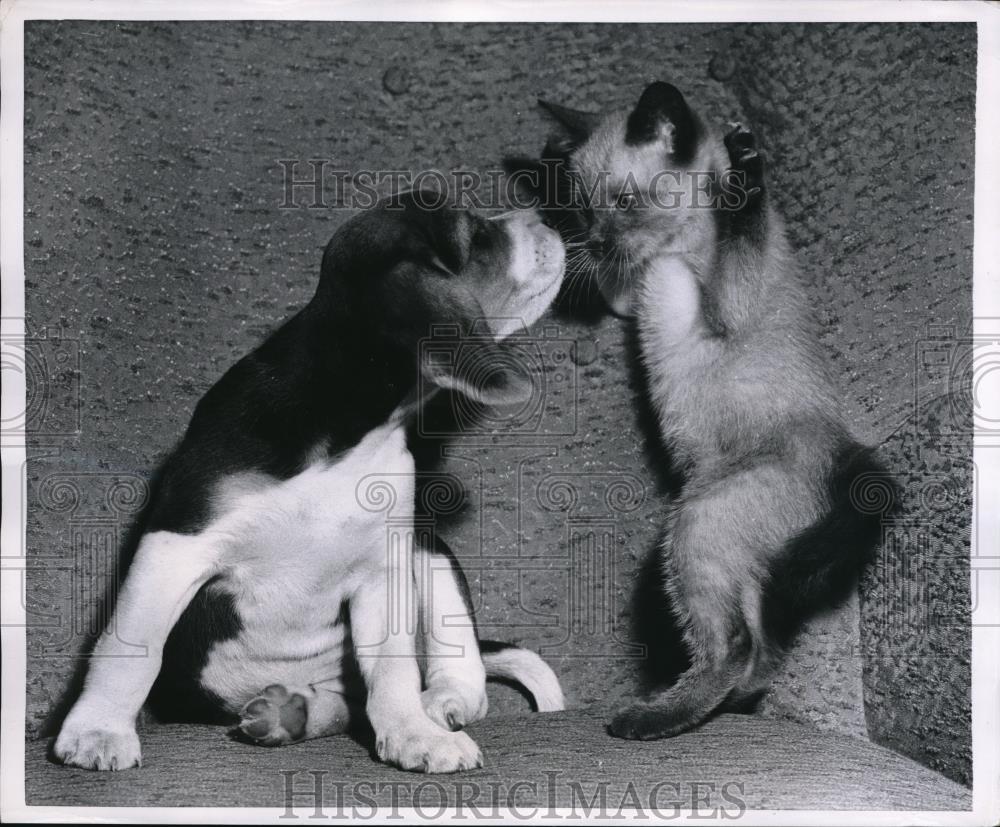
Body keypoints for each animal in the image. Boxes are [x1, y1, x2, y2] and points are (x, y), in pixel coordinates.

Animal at [54, 191, 568, 772]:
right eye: (476, 234)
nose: (552, 215)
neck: (353, 433)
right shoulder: (175, 544)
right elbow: (130, 649)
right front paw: (98, 730)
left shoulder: (382, 569)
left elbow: (393, 669)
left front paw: (414, 733)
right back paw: (293, 713)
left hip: (429, 552)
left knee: (452, 674)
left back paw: (431, 704)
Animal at [512, 84, 896, 740]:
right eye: (583, 209)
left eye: (625, 201)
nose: (595, 240)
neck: (667, 251)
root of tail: (846, 452)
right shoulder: (630, 291)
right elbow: (616, 286)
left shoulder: (730, 304)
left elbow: (744, 228)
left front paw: (744, 171)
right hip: (731, 555)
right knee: (760, 650)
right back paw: (721, 706)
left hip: (696, 525)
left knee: (735, 646)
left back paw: (647, 720)